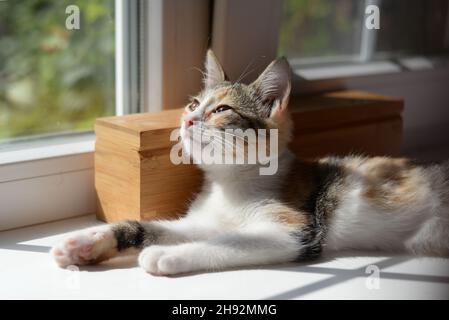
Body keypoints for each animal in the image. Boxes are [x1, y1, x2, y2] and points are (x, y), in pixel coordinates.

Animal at [50, 49, 448, 276]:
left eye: (222, 109)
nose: (188, 119)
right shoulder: (205, 219)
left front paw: (163, 254)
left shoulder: (295, 230)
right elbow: (158, 226)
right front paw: (86, 242)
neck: (231, 182)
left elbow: (230, 241)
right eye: (194, 103)